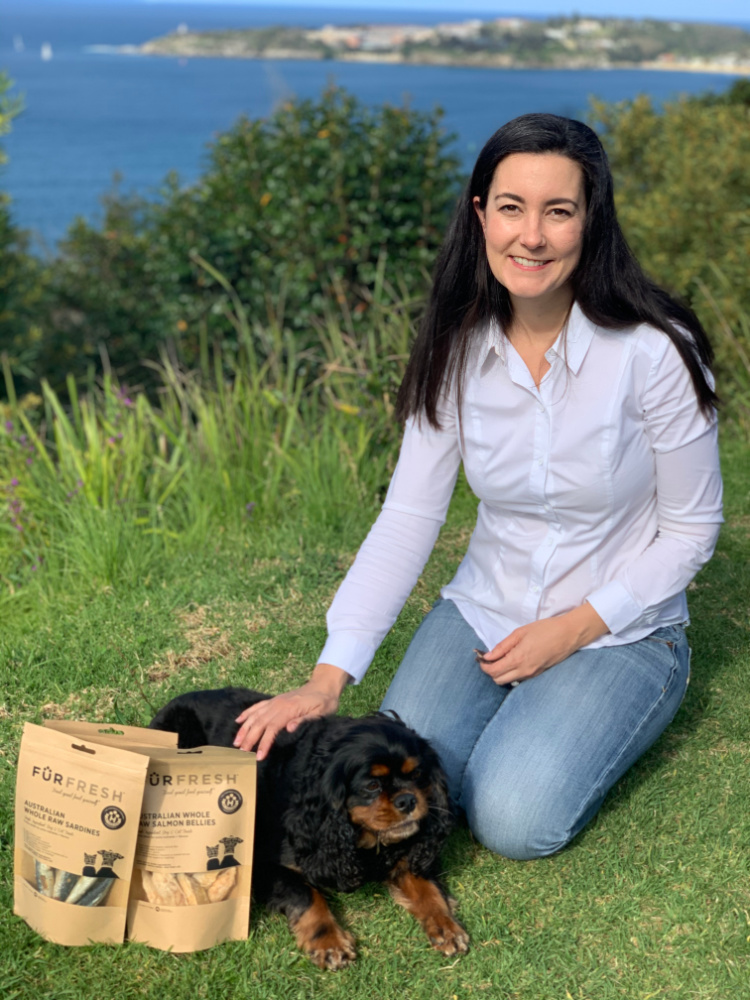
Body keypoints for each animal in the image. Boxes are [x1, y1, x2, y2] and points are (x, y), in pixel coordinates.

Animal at [151, 688, 470, 968]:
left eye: (417, 775)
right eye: (371, 785)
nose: (408, 800)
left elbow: (425, 885)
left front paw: (446, 926)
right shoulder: (263, 861)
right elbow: (307, 894)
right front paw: (329, 943)